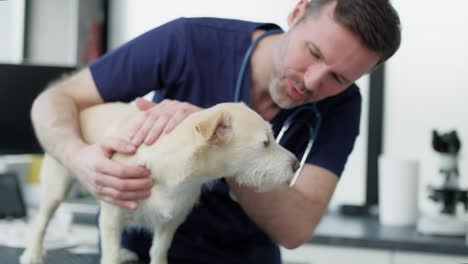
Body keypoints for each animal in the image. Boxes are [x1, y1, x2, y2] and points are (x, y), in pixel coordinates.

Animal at [20, 102, 298, 264]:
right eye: (265, 143)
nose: (296, 164)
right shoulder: (114, 211)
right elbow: (109, 250)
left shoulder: (172, 220)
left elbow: (159, 250)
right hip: (57, 188)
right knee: (42, 221)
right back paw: (32, 253)